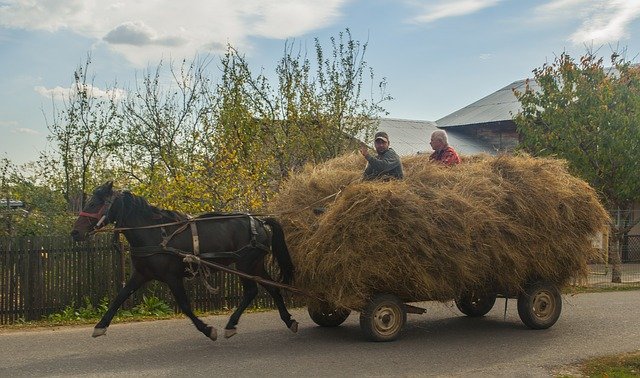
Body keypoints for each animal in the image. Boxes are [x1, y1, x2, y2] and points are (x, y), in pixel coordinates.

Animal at [71, 180, 298, 340]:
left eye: (94, 203)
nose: (75, 232)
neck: (154, 234)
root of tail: (260, 221)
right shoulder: (142, 274)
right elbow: (120, 296)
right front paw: (100, 326)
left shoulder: (173, 277)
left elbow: (185, 306)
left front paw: (207, 329)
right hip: (255, 265)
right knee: (273, 288)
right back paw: (289, 320)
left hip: (245, 264)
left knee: (251, 291)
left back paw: (231, 325)